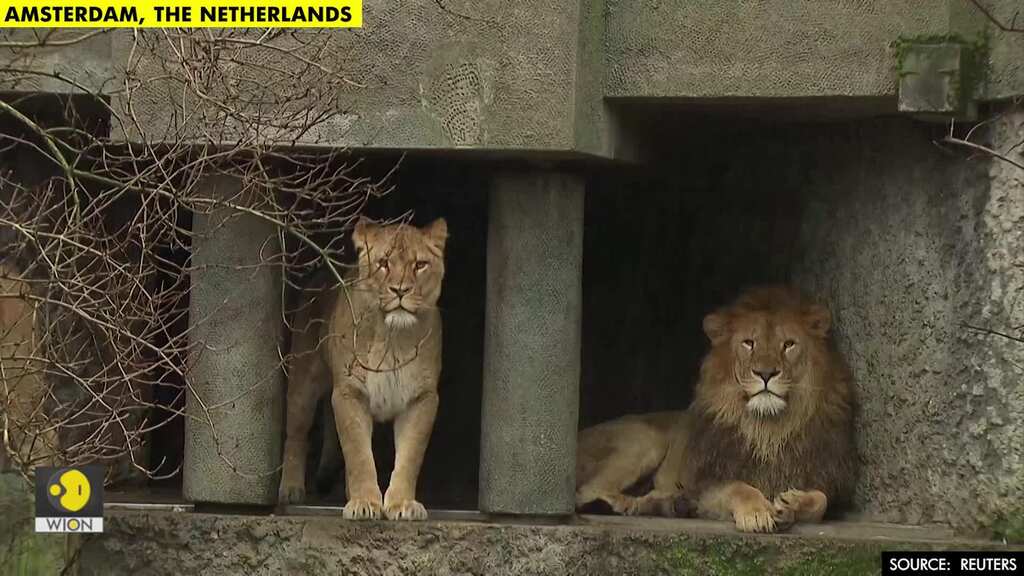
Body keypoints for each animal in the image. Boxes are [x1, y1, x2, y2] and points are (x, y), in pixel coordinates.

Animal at [278, 217, 448, 521]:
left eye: (420, 264)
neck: (393, 337)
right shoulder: (349, 392)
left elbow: (409, 457)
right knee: (296, 435)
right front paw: (364, 503)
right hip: (303, 384)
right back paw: (291, 490)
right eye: (383, 263)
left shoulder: (422, 398)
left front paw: (402, 503)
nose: (400, 290)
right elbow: (358, 453)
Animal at [576, 285, 857, 533]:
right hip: (645, 440)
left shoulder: (821, 478)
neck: (768, 429)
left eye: (789, 344)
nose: (766, 373)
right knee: (586, 492)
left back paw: (669, 504)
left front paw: (792, 503)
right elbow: (739, 487)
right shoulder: (707, 486)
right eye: (749, 343)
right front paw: (757, 513)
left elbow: (821, 501)